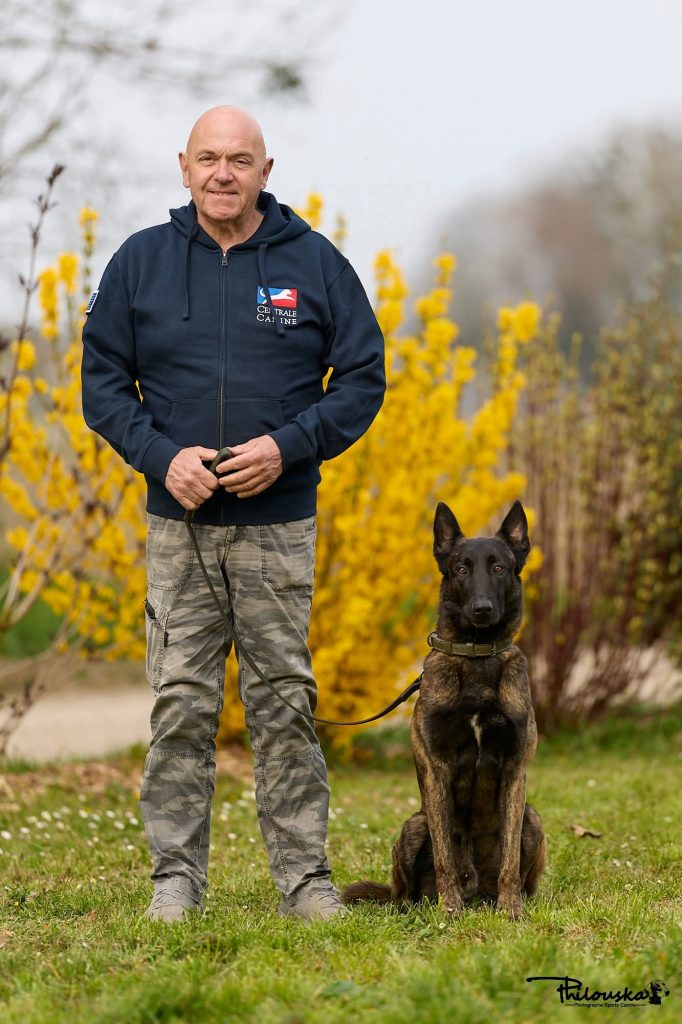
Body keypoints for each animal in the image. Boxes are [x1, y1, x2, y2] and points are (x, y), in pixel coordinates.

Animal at [343, 500, 546, 919]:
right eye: (461, 569)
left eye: (499, 568)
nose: (482, 609)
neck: (477, 656)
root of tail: (477, 890)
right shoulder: (436, 770)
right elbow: (444, 857)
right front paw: (448, 910)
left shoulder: (515, 769)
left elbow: (509, 860)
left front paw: (511, 910)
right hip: (412, 828)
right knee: (406, 891)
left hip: (533, 820)